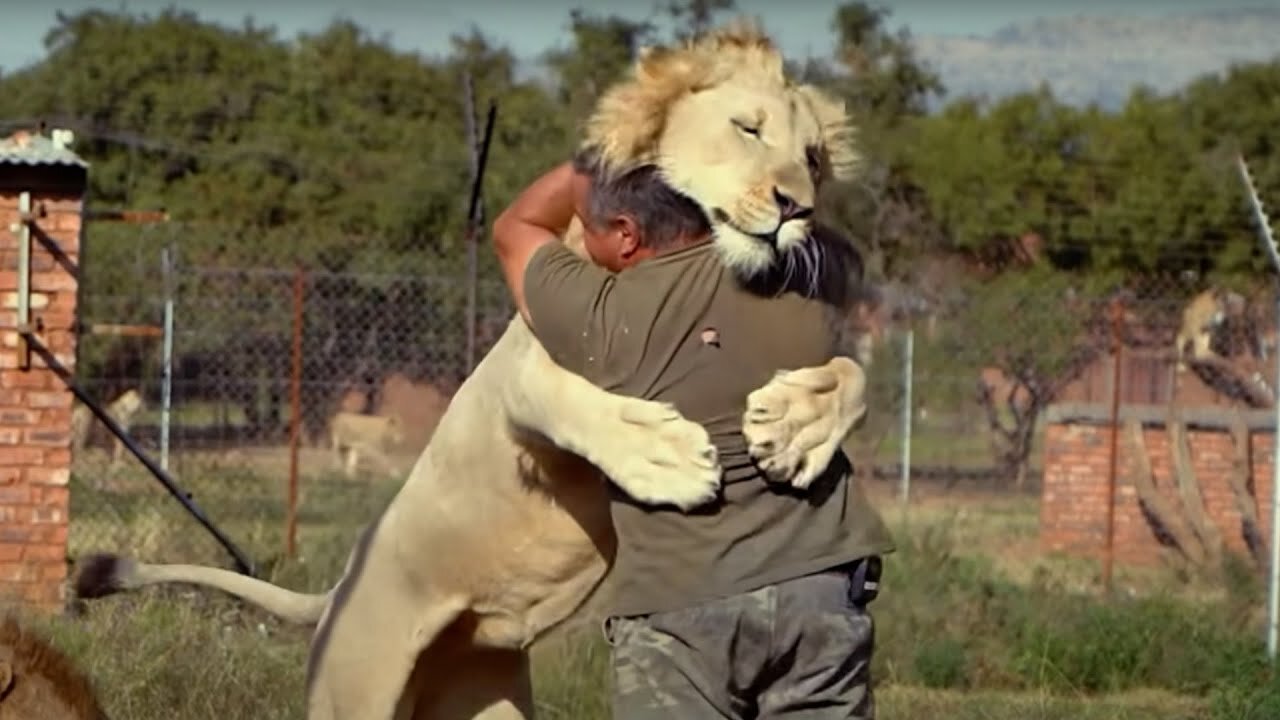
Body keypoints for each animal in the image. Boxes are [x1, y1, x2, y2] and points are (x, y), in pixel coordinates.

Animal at [70, 18, 870, 717]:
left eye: (814, 158)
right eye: (748, 128)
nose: (796, 207)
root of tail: (338, 592)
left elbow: (855, 377)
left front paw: (796, 431)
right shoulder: (524, 359)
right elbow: (561, 396)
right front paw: (667, 457)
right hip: (354, 694)